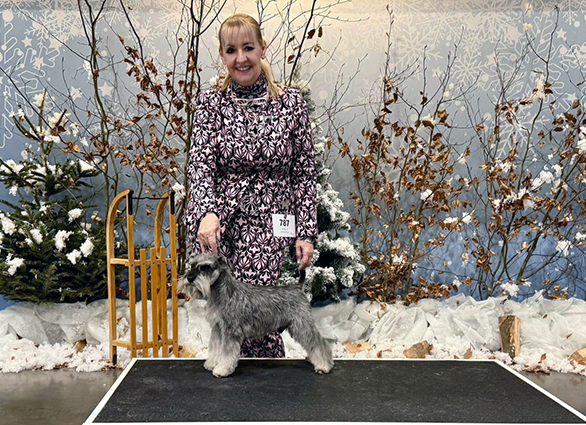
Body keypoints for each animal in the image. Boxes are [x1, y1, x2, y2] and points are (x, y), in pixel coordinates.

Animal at [178, 253, 334, 378]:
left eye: (206, 267)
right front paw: (212, 363)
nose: (189, 278)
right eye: (192, 265)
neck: (222, 293)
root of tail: (298, 287)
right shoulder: (217, 328)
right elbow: (215, 347)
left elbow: (227, 352)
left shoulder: (231, 331)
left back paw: (324, 365)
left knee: (318, 343)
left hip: (302, 324)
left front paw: (222, 369)